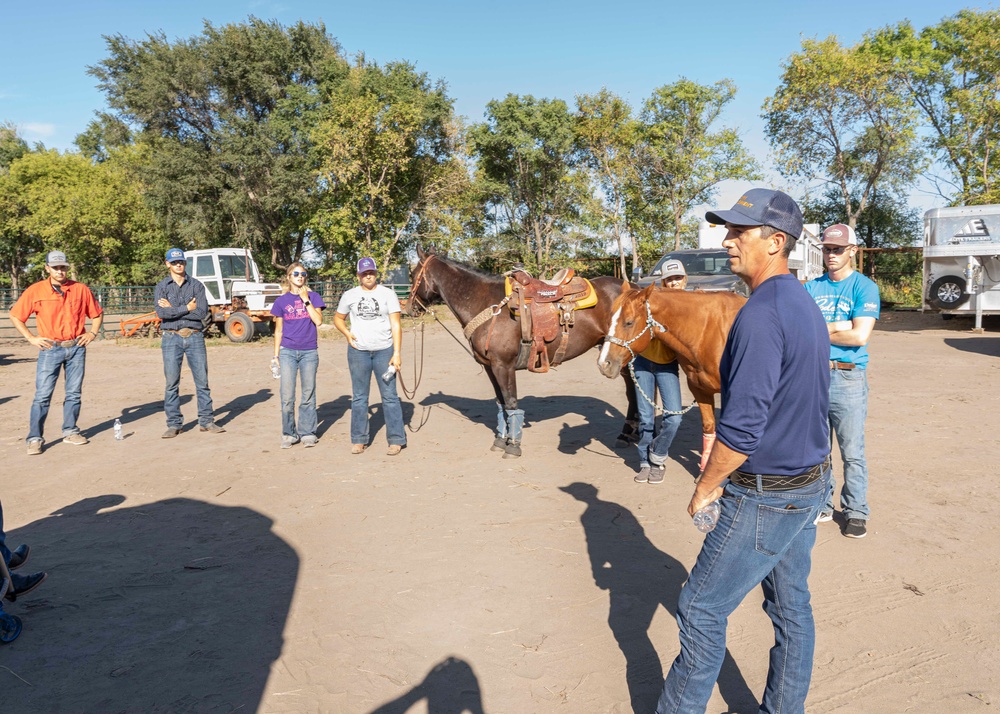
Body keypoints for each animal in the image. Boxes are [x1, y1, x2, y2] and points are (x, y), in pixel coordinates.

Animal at [408, 246, 636, 456]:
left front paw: (513, 445)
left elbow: (511, 403)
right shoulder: (491, 367)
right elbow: (501, 404)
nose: (410, 308)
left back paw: (627, 434)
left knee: (633, 392)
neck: (486, 304)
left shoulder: (504, 366)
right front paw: (501, 440)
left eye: (412, 274)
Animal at [592, 286, 744, 472]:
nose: (603, 363)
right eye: (609, 320)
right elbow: (709, 426)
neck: (708, 332)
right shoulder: (699, 388)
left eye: (629, 322)